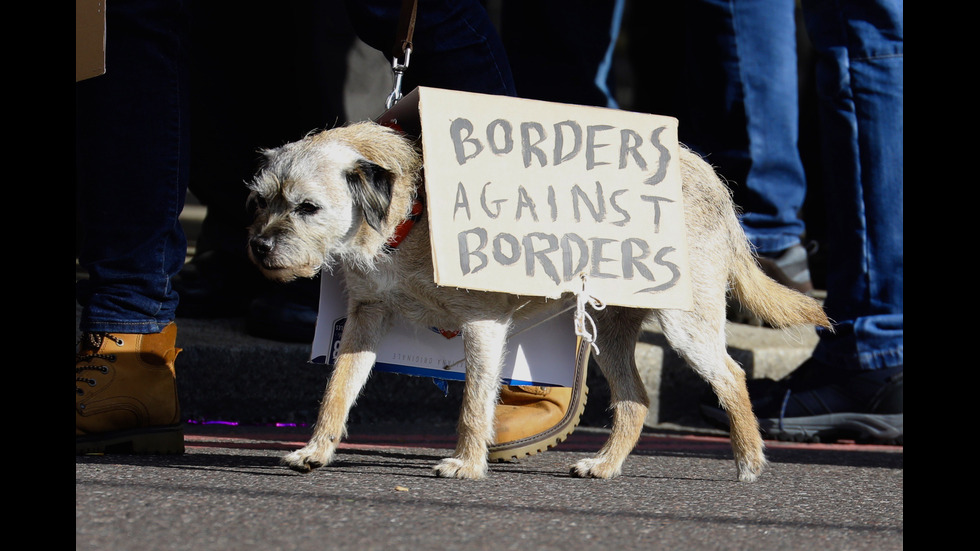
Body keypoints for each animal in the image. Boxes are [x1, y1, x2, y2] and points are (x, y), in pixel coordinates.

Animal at [249, 122, 832, 484]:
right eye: (259, 201)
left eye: (308, 207)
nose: (259, 246)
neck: (409, 214)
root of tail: (715, 182)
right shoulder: (367, 318)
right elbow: (338, 391)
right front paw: (317, 450)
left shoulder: (483, 324)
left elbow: (474, 402)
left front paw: (467, 464)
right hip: (612, 333)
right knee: (636, 398)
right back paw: (605, 464)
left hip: (685, 321)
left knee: (731, 376)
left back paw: (750, 462)